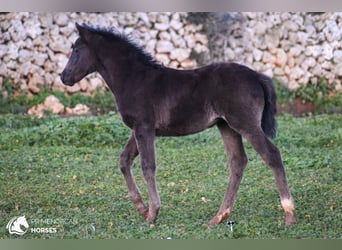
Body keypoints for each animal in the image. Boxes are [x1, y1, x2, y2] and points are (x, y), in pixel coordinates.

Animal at [60, 23, 296, 227]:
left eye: (77, 50)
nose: (64, 76)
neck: (133, 78)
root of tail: (257, 76)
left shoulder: (144, 127)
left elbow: (148, 165)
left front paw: (152, 214)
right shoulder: (139, 129)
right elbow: (124, 161)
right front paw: (142, 208)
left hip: (245, 124)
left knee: (272, 155)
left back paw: (289, 214)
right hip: (226, 126)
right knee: (238, 162)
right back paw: (219, 217)